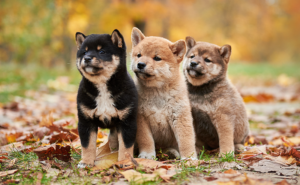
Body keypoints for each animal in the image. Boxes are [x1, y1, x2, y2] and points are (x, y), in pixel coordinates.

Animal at [75, 29, 138, 168]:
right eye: (84, 52)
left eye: (102, 52)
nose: (87, 58)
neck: (102, 87)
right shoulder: (86, 121)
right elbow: (87, 146)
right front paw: (86, 162)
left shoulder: (127, 122)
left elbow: (125, 147)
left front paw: (125, 162)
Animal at [131, 27, 197, 160]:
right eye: (139, 55)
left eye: (157, 58)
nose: (140, 64)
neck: (157, 91)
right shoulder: (141, 118)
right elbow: (146, 140)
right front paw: (147, 155)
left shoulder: (180, 116)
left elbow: (186, 141)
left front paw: (189, 158)